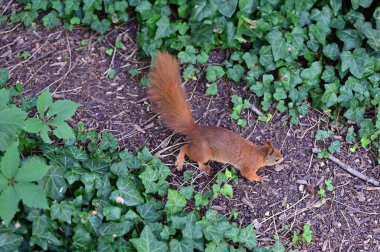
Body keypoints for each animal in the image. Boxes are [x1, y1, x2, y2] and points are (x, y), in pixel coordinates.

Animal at [147, 52, 284, 181]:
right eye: (276, 159)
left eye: (279, 151)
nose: (282, 159)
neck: (259, 153)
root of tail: (195, 129)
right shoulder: (249, 167)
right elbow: (248, 175)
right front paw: (261, 178)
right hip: (204, 152)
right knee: (185, 148)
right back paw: (184, 163)